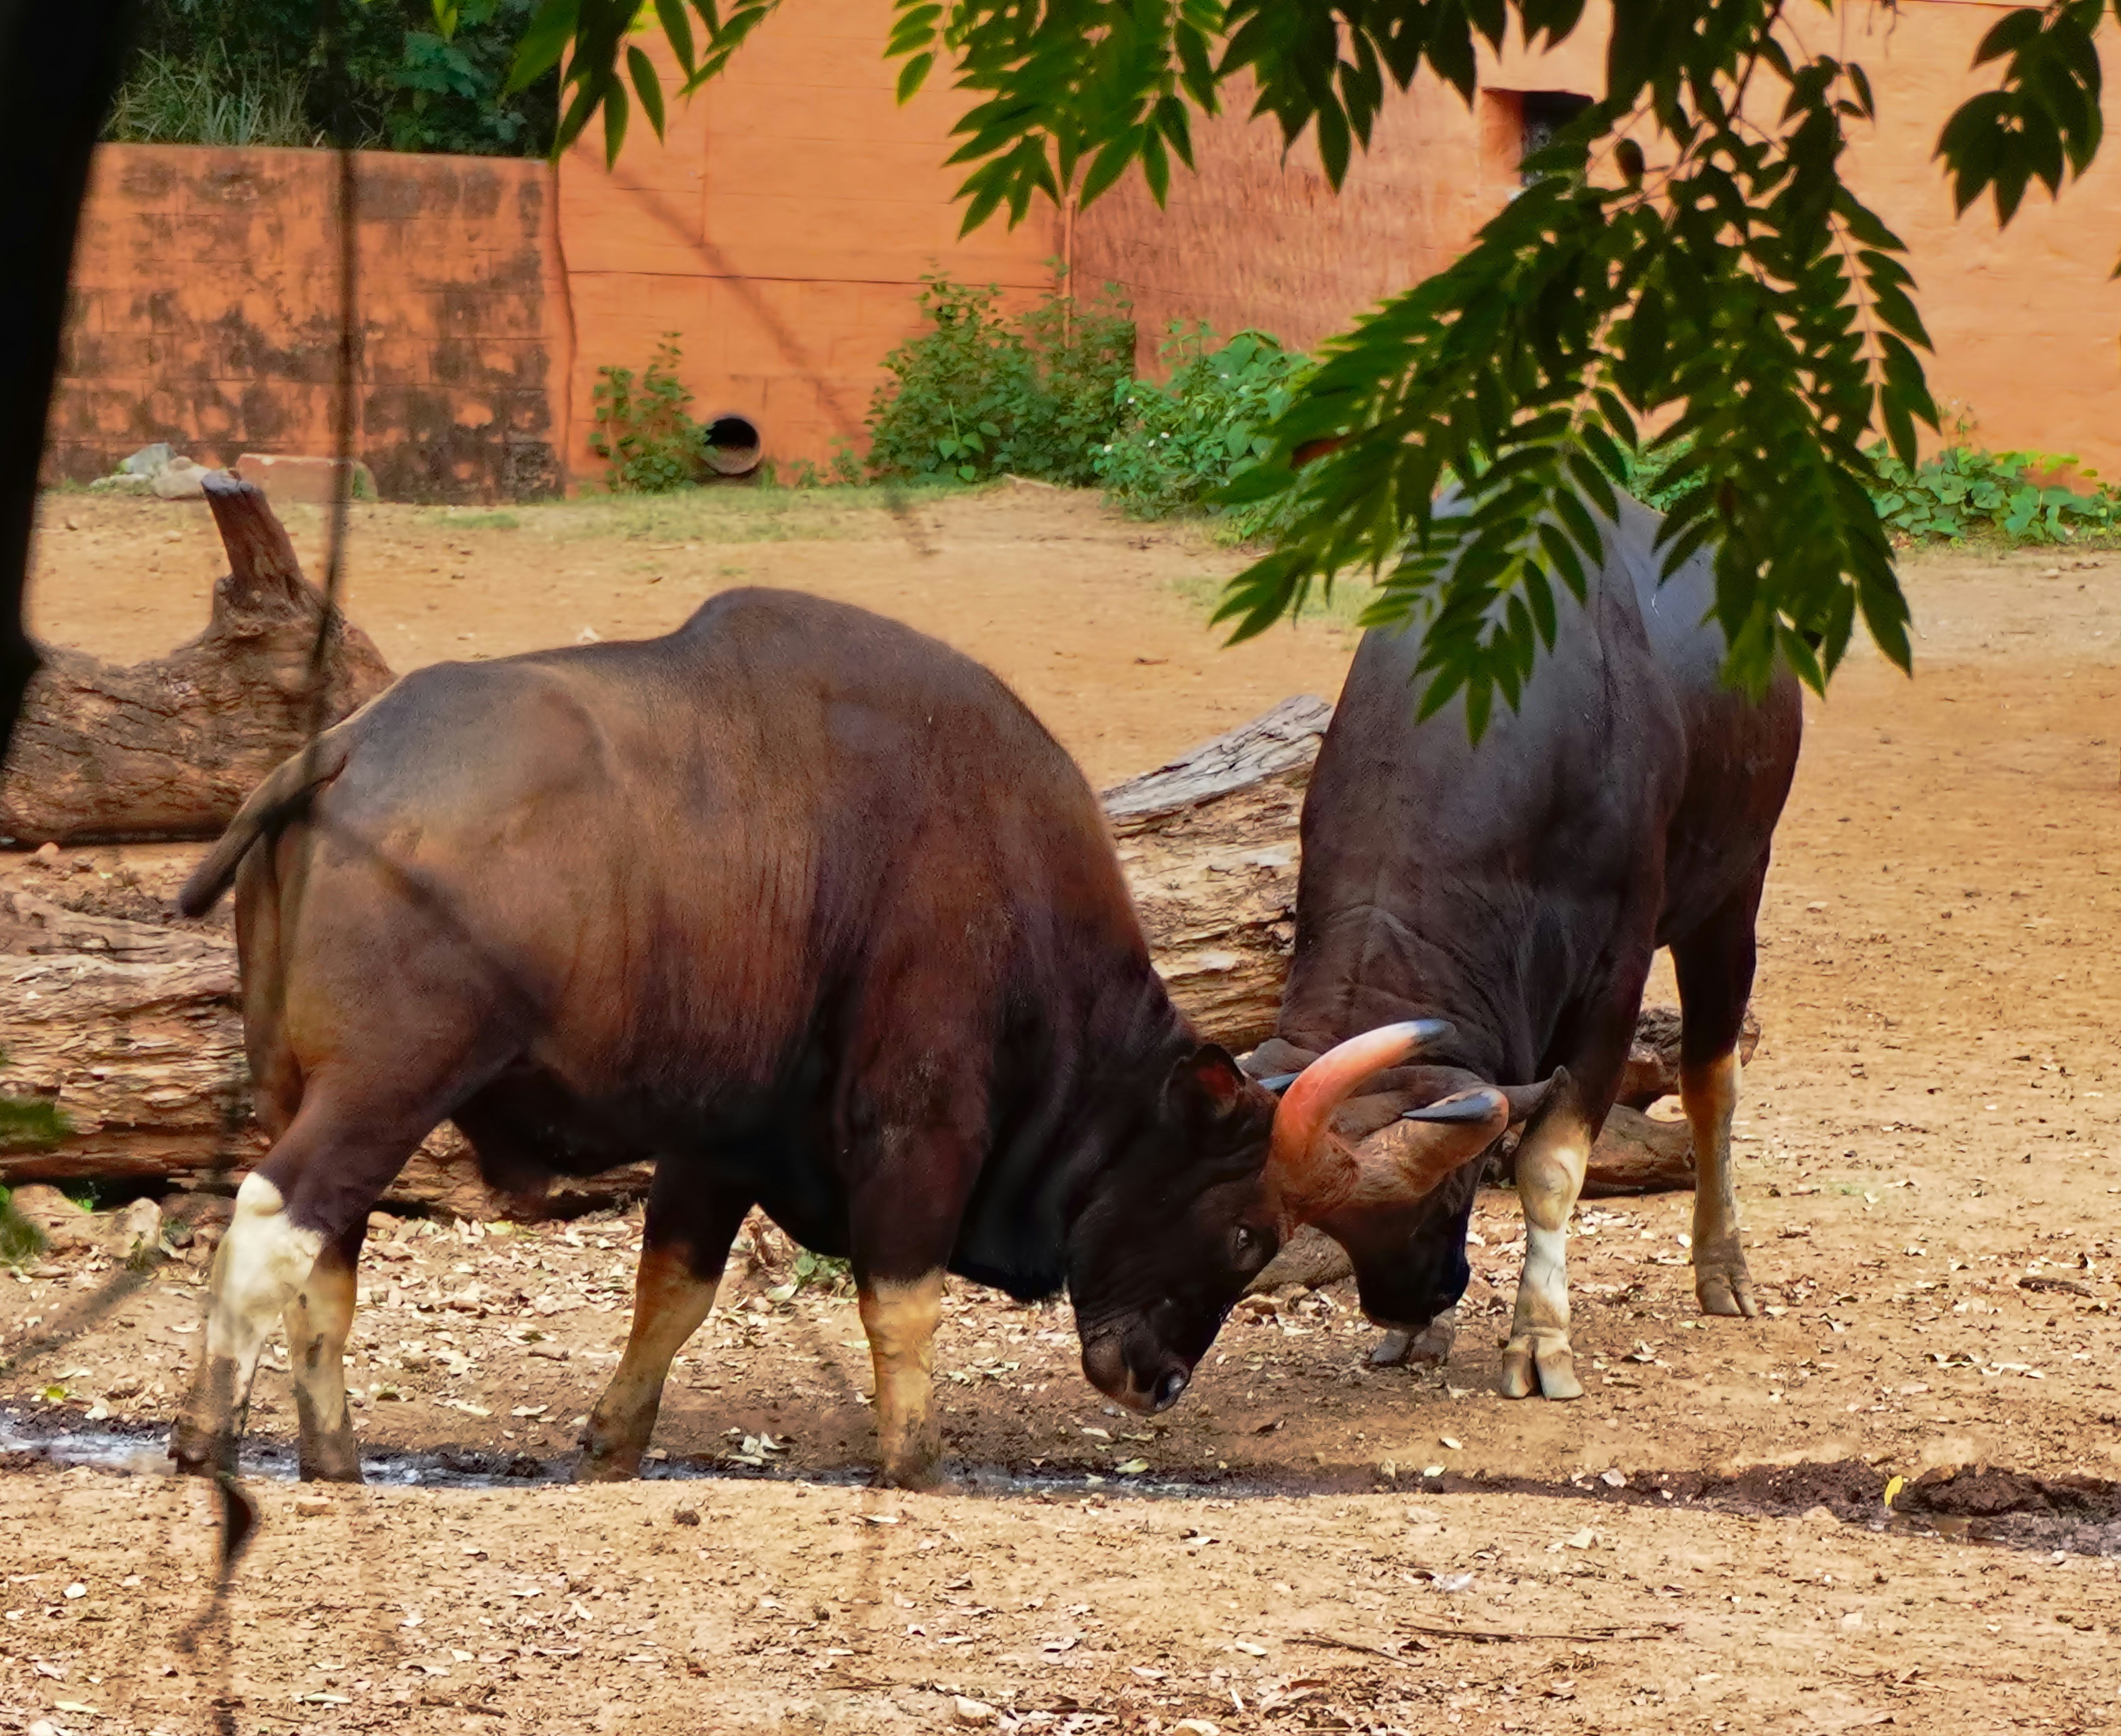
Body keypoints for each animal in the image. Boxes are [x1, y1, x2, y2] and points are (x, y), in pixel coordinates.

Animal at [166, 587, 1470, 1488]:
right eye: (1249, 1231)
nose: (1158, 1380)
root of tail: (340, 751)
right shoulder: (920, 1125)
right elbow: (902, 1301)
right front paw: (916, 1459)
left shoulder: (722, 1139)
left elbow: (672, 1291)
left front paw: (611, 1440)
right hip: (387, 1084)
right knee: (273, 1217)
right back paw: (204, 1436)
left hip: (304, 1085)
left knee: (327, 1252)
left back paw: (331, 1453)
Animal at [1245, 493, 1804, 1399]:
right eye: (1334, 1221)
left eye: (1451, 1188)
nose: (1413, 1297)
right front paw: (1427, 1335)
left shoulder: (1613, 980)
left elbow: (1549, 1160)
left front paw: (1539, 1339)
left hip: (1733, 887)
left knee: (1711, 1084)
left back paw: (1723, 1268)